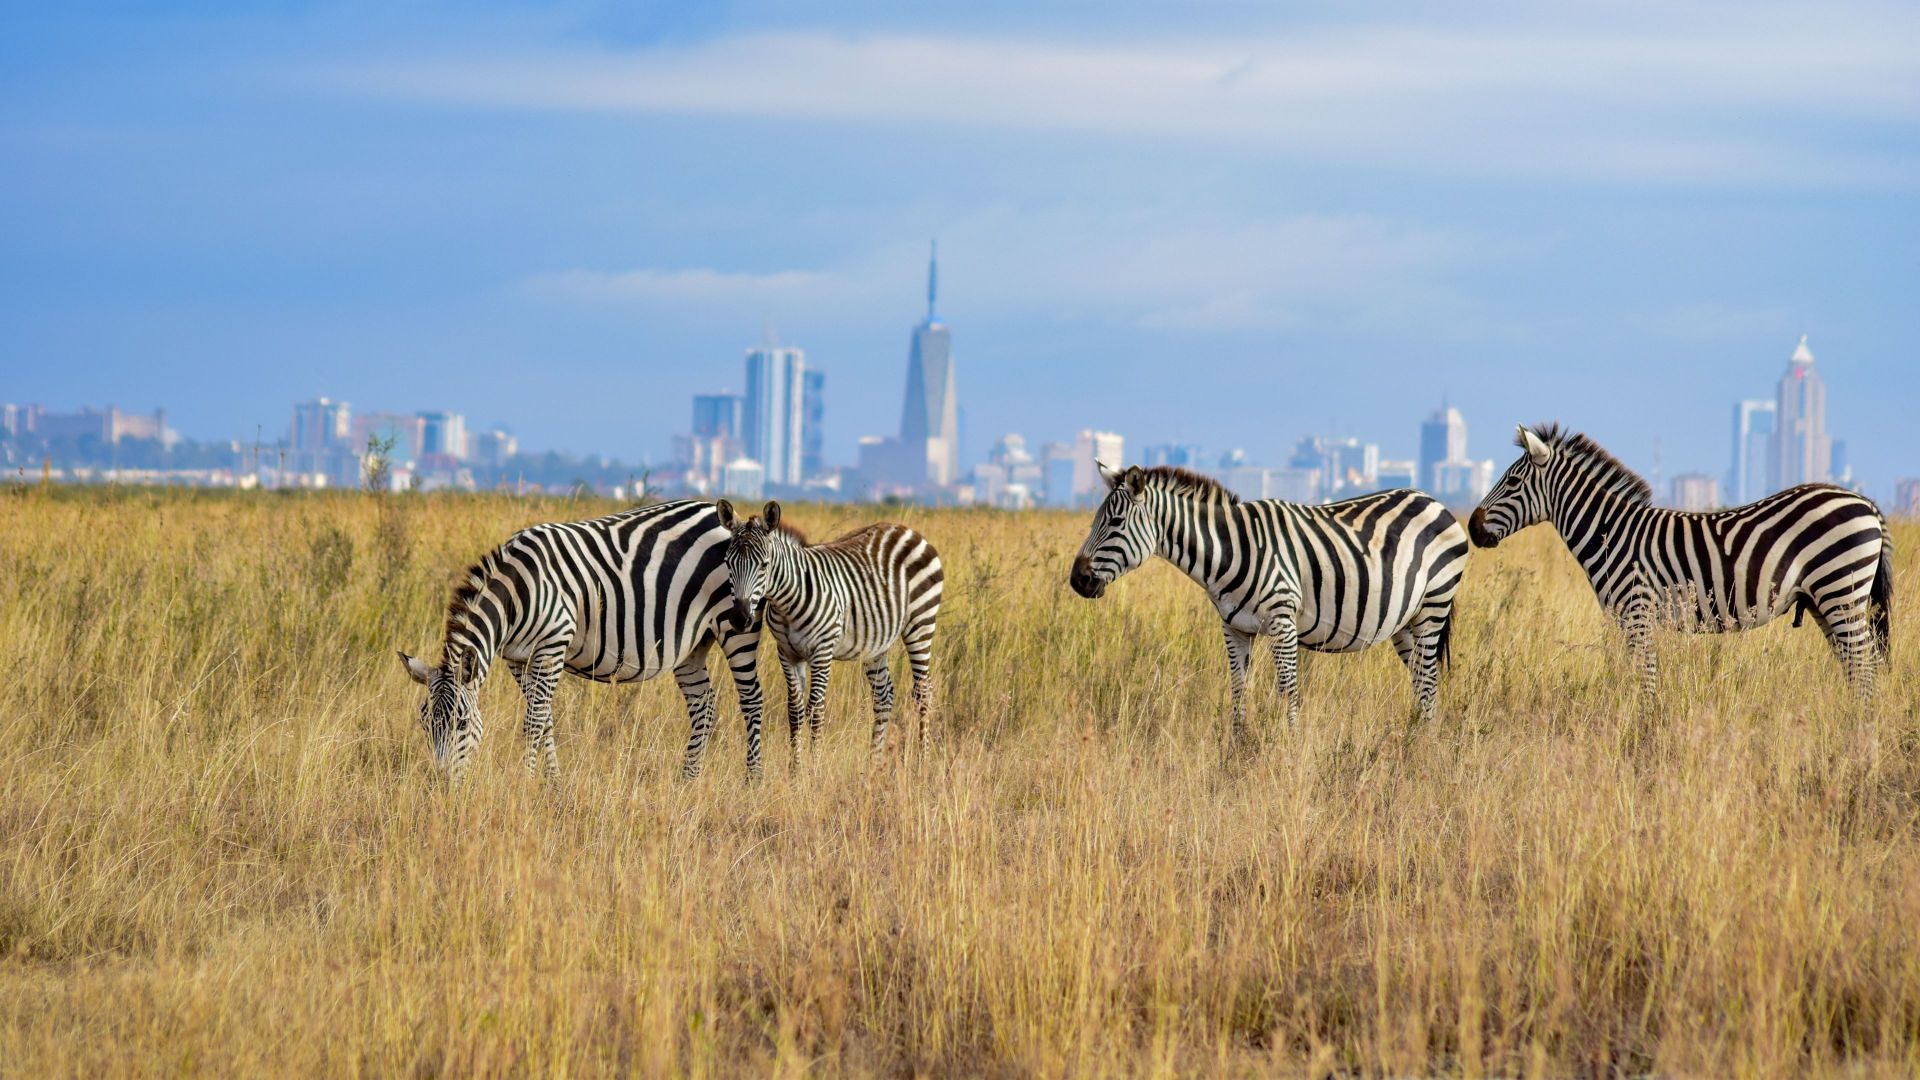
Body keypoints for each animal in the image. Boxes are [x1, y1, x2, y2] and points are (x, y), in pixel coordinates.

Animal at [718, 499, 940, 760]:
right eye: (728, 563)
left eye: (764, 565)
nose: (740, 619)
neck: (787, 602)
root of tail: (906, 529)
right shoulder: (787, 653)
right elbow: (794, 710)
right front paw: (795, 767)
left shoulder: (821, 651)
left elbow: (815, 710)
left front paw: (813, 766)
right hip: (876, 642)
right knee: (883, 696)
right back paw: (874, 761)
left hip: (921, 623)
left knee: (923, 692)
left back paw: (923, 759)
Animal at [1067, 463, 1466, 737]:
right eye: (1095, 520)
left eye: (1115, 522)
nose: (1077, 580)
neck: (1229, 552)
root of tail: (1434, 501)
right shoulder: (1234, 628)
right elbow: (1238, 690)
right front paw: (1237, 749)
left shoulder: (1282, 622)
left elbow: (1288, 690)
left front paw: (1289, 748)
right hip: (1405, 622)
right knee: (1420, 680)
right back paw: (1416, 738)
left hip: (1433, 606)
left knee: (1429, 679)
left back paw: (1423, 747)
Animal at [1466, 424, 1889, 703]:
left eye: (1513, 481)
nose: (1472, 527)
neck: (1610, 532)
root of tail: (1865, 502)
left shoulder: (1636, 612)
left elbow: (1647, 678)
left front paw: (1646, 730)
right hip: (1824, 600)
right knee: (1855, 665)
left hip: (1840, 589)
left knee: (1864, 664)